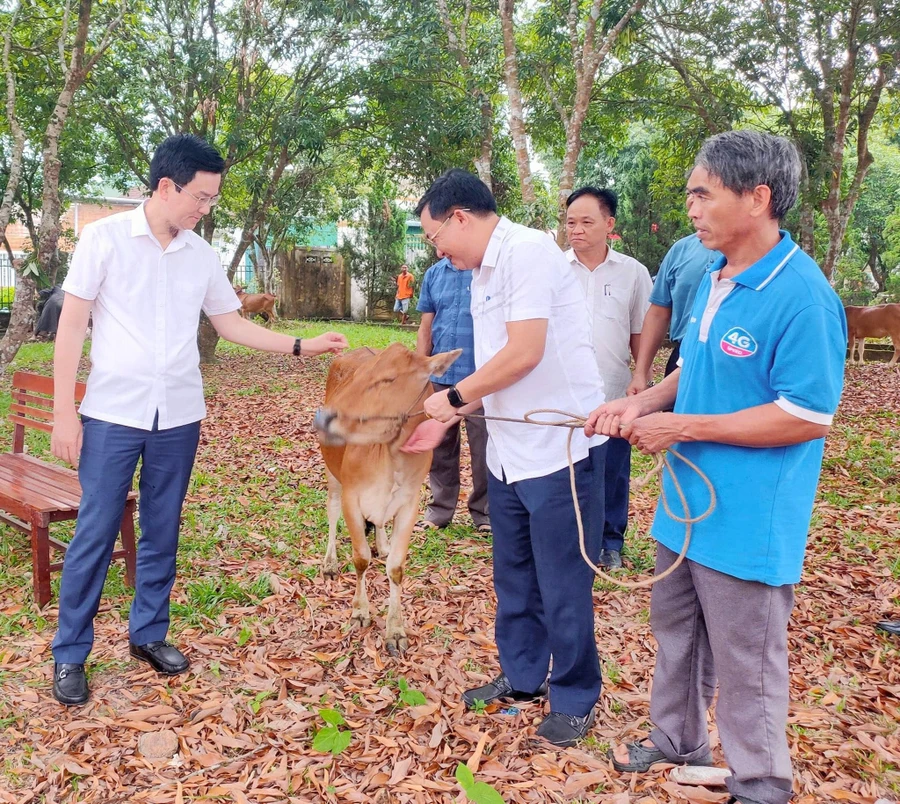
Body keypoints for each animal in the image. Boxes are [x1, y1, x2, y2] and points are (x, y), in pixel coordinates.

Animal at [312, 344, 460, 652]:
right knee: (331, 511)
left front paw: (396, 630)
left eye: (388, 379)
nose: (323, 418)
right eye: (360, 376)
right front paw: (359, 612)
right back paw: (330, 563)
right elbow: (360, 558)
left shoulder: (410, 503)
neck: (389, 460)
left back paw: (382, 544)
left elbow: (396, 567)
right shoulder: (352, 496)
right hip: (332, 473)